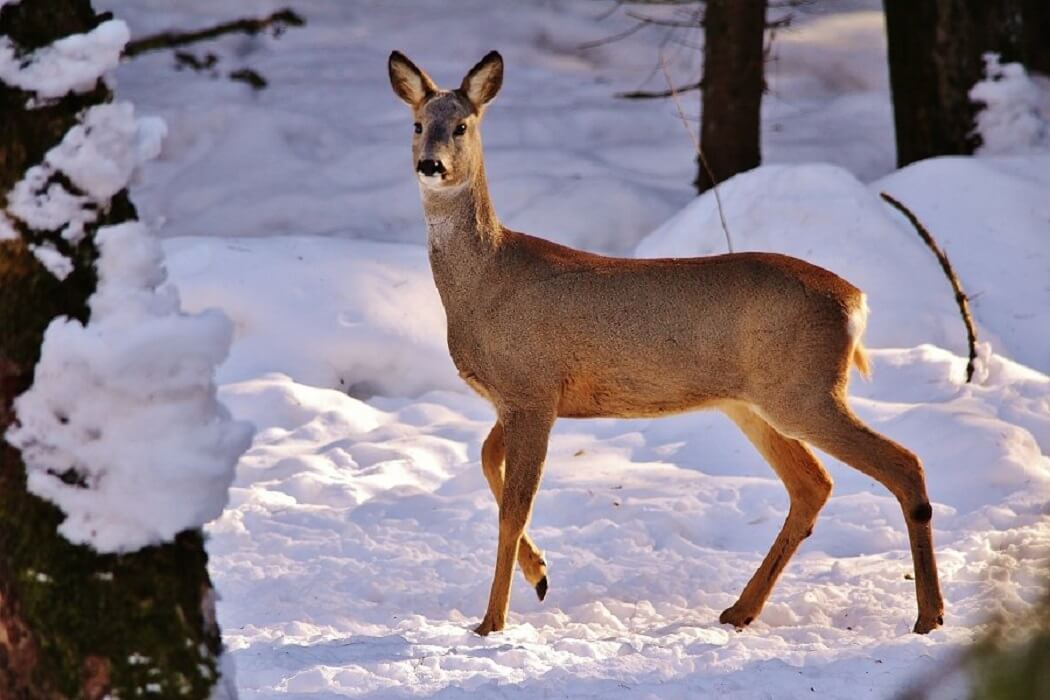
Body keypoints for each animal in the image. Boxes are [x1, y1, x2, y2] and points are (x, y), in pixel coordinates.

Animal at [390, 49, 949, 638]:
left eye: (462, 126)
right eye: (417, 124)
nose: (431, 165)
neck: (485, 282)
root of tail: (855, 300)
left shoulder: (533, 390)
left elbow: (514, 507)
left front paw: (491, 623)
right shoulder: (521, 399)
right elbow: (485, 462)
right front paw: (539, 575)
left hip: (804, 391)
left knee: (903, 463)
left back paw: (928, 615)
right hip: (753, 402)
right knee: (812, 485)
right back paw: (739, 610)